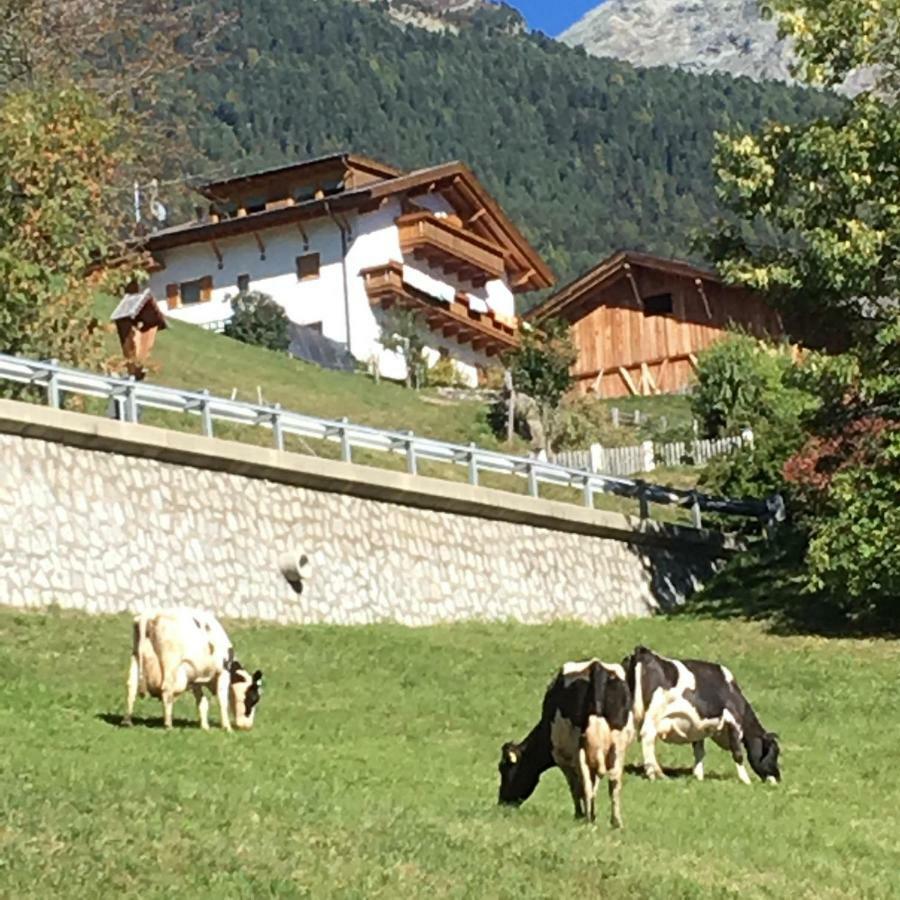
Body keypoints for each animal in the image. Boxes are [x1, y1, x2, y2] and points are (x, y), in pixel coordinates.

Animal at [123, 604, 264, 732]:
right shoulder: (223, 672)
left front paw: (205, 727)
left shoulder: (195, 678)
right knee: (166, 690)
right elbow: (222, 700)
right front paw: (227, 727)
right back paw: (168, 725)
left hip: (135, 656)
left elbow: (203, 703)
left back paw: (127, 721)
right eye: (254, 698)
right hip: (171, 661)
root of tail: (149, 616)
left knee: (132, 687)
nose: (247, 727)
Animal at [496, 656, 636, 828]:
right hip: (618, 745)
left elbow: (574, 787)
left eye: (503, 769)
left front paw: (580, 814)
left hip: (578, 748)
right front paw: (592, 813)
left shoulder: (561, 758)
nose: (502, 802)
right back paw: (615, 822)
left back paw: (588, 819)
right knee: (614, 782)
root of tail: (596, 667)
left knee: (585, 783)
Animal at [624, 644, 776, 784]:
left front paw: (698, 776)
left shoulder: (698, 727)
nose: (778, 779)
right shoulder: (734, 721)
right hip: (653, 714)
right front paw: (746, 780)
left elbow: (699, 751)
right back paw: (655, 773)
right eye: (775, 753)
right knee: (648, 737)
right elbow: (737, 753)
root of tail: (644, 651)